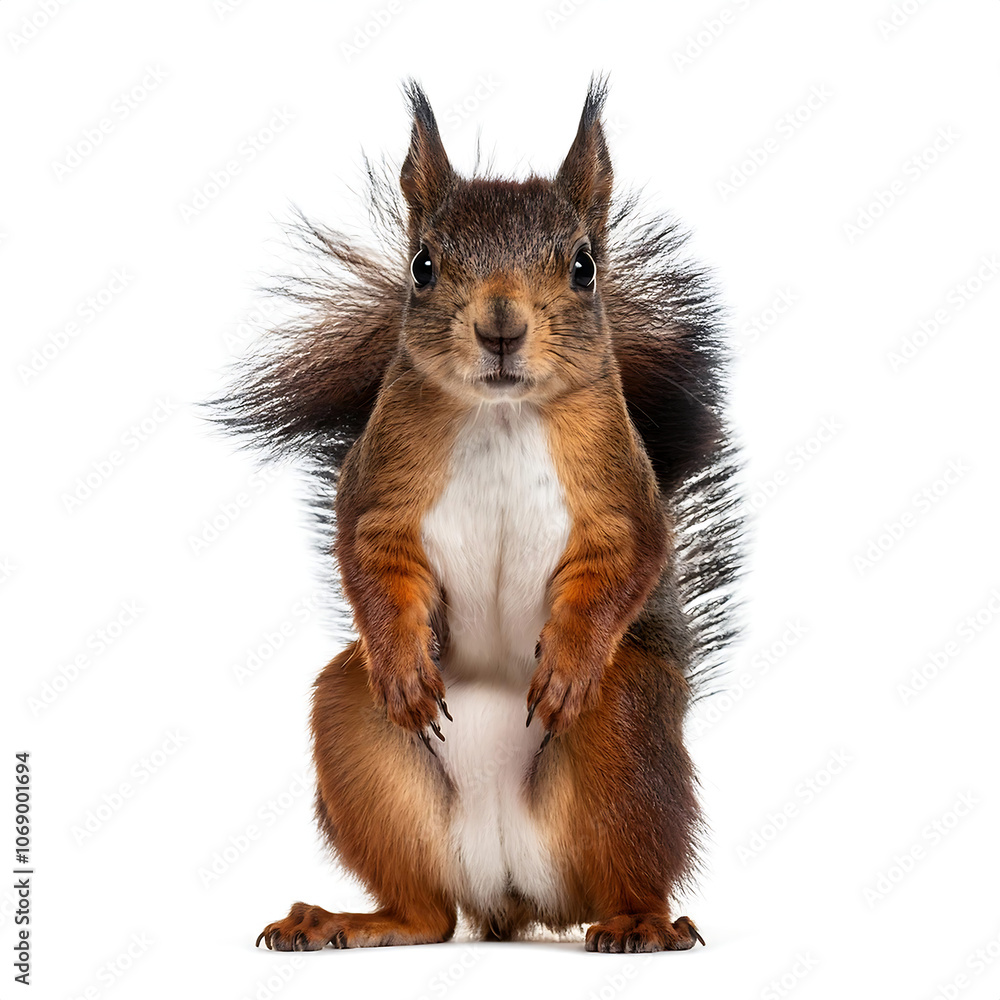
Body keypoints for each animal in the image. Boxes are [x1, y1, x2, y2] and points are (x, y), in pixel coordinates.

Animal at [219, 78, 741, 953]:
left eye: (584, 266)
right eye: (422, 265)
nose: (501, 324)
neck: (500, 414)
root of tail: (512, 894)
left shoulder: (620, 493)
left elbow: (624, 562)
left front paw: (568, 661)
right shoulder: (382, 485)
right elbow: (369, 555)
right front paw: (402, 663)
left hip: (626, 731)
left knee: (627, 871)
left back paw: (642, 922)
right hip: (355, 729)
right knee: (428, 915)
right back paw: (341, 921)